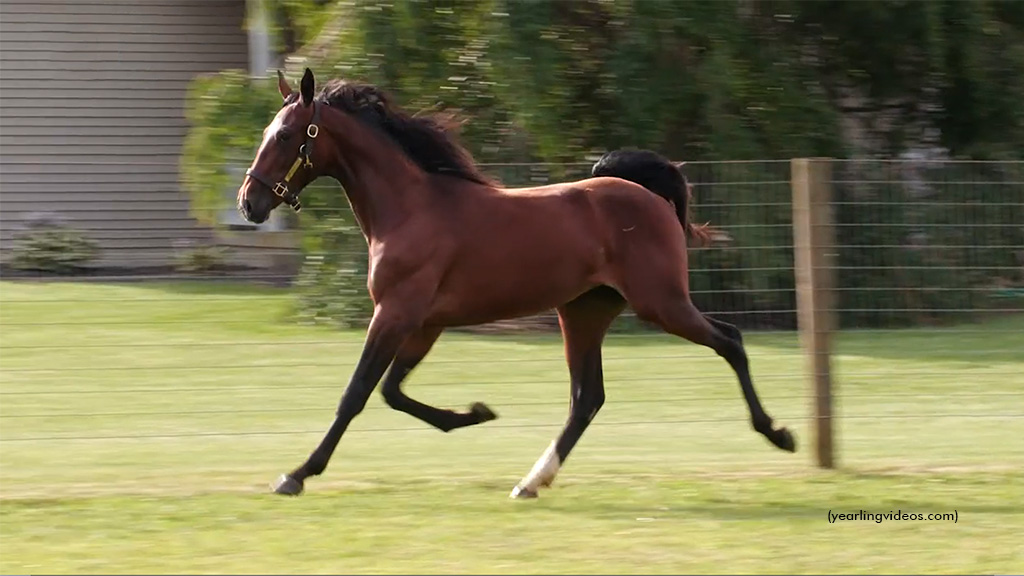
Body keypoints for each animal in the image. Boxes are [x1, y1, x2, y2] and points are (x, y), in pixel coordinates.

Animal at [237, 68, 796, 499]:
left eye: (285, 136)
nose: (249, 202)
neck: (410, 209)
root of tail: (650, 195)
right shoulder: (424, 323)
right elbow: (392, 392)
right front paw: (474, 413)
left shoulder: (396, 313)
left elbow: (356, 394)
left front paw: (296, 474)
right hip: (585, 313)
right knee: (586, 398)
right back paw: (531, 481)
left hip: (661, 303)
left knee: (730, 340)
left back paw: (779, 434)